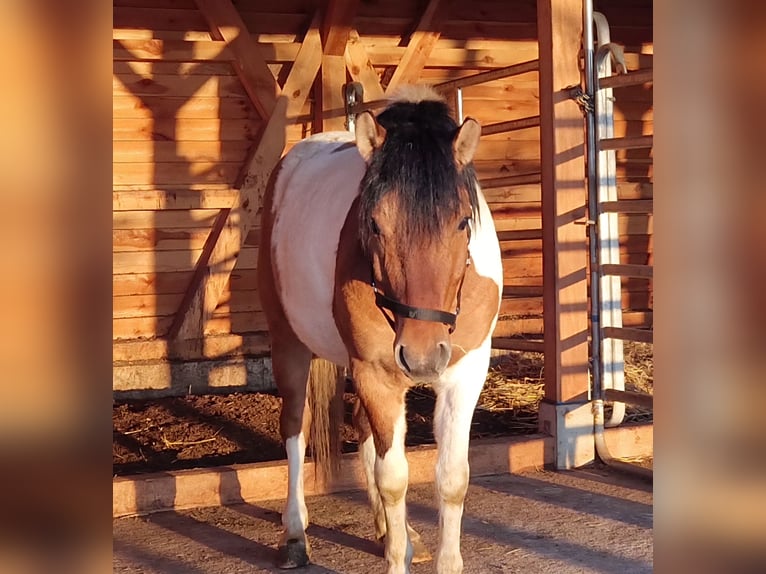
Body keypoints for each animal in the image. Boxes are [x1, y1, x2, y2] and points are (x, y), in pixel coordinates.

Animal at [257, 85, 503, 574]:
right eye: (373, 223)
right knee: (295, 426)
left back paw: (396, 533)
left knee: (363, 431)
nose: (423, 354)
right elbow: (393, 479)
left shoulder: (466, 374)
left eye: (463, 221)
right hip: (290, 342)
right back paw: (295, 533)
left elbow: (452, 478)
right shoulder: (376, 373)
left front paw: (417, 545)